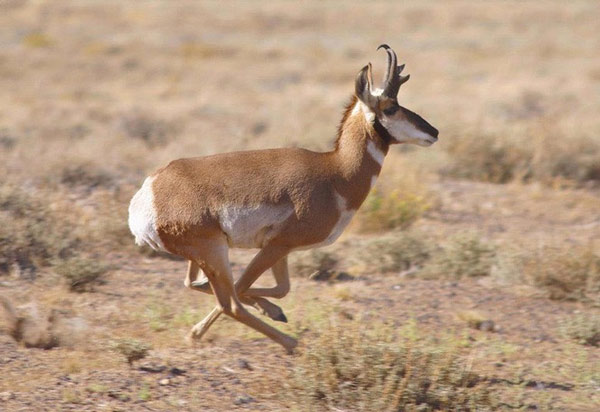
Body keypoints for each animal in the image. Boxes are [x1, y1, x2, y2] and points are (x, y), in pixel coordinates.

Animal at [129, 45, 438, 354]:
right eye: (390, 107)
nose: (434, 132)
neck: (335, 172)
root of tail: (151, 191)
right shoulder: (277, 245)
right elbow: (245, 286)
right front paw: (204, 330)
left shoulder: (281, 249)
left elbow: (279, 289)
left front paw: (272, 311)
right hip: (214, 250)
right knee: (230, 304)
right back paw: (291, 342)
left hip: (205, 253)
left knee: (195, 282)